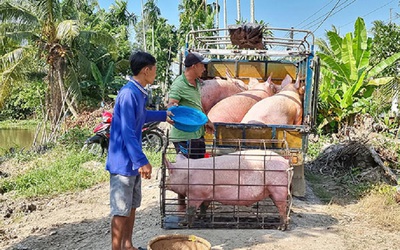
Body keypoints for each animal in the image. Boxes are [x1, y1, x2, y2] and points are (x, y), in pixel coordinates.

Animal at [159, 139, 294, 230]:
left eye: (170, 173)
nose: (162, 184)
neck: (187, 174)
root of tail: (287, 162)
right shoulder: (207, 194)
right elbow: (204, 206)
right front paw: (202, 218)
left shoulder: (195, 193)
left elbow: (191, 210)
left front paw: (183, 224)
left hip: (278, 188)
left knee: (282, 208)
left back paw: (280, 228)